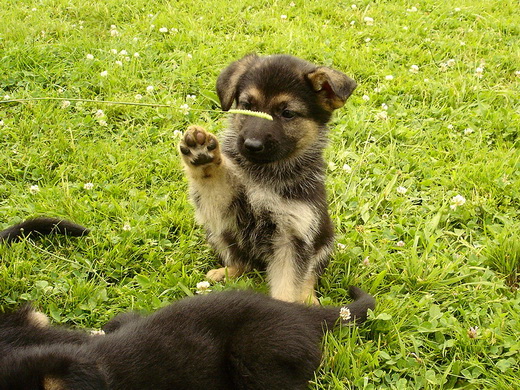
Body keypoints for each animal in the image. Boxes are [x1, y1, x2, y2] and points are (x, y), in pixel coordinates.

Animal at [179, 54, 358, 304]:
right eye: (247, 106)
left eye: (287, 114)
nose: (251, 145)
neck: (265, 174)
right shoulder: (224, 207)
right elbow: (213, 181)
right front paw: (202, 155)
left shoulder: (292, 237)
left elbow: (289, 287)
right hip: (219, 233)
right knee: (241, 262)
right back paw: (225, 272)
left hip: (324, 241)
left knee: (310, 275)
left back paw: (308, 298)